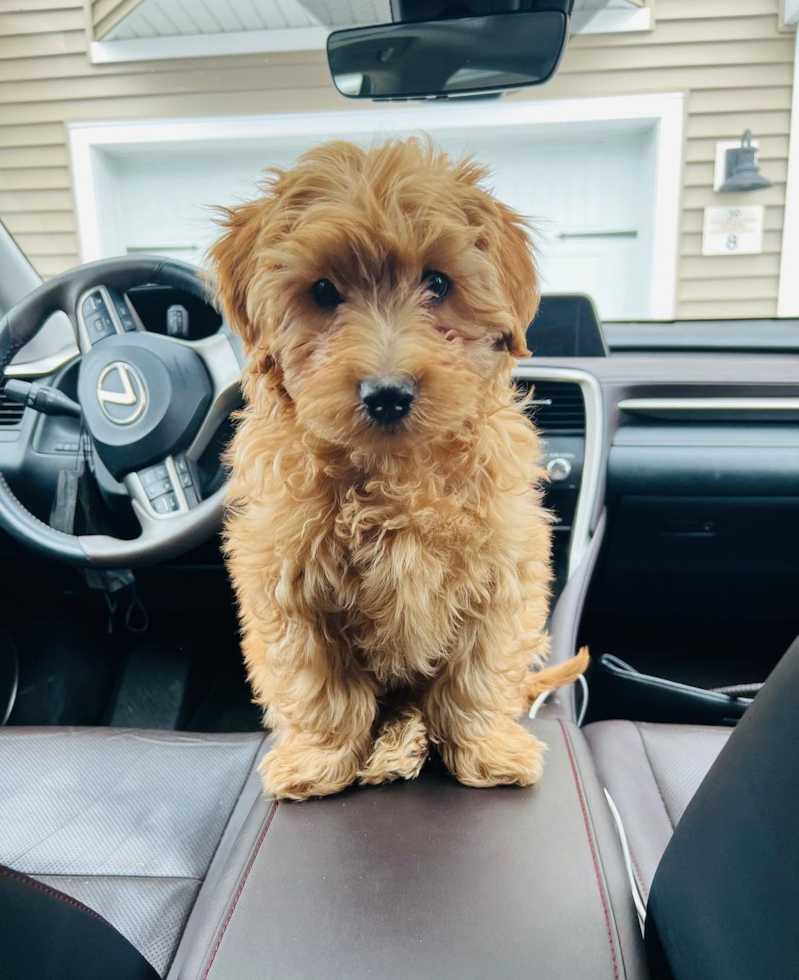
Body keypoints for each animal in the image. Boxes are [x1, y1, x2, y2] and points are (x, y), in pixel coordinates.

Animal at [209, 136, 592, 796]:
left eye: (438, 282)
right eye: (323, 291)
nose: (387, 394)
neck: (396, 470)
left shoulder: (504, 566)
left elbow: (478, 674)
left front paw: (487, 752)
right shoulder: (286, 579)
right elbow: (319, 683)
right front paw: (318, 760)